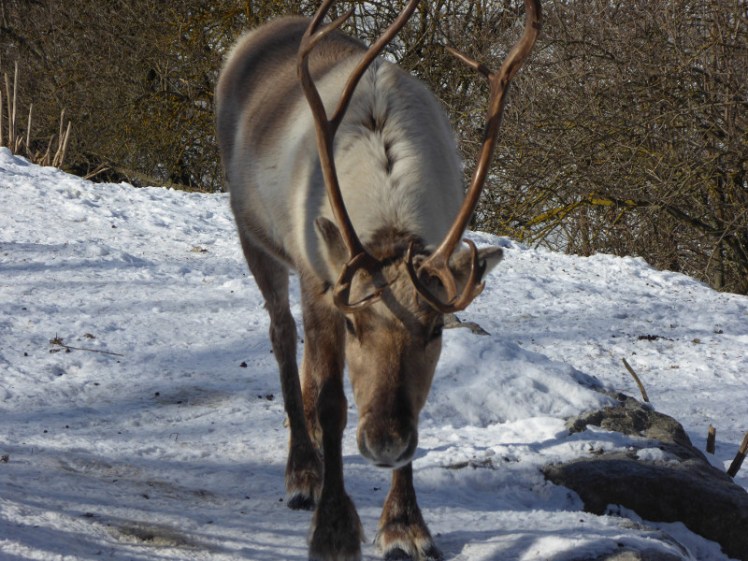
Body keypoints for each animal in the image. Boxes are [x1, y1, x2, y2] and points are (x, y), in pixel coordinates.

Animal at [215, 1, 541, 559]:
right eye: (355, 326)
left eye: (435, 331)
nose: (385, 442)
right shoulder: (322, 282)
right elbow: (332, 402)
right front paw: (333, 529)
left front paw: (405, 526)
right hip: (254, 236)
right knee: (282, 335)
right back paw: (303, 471)